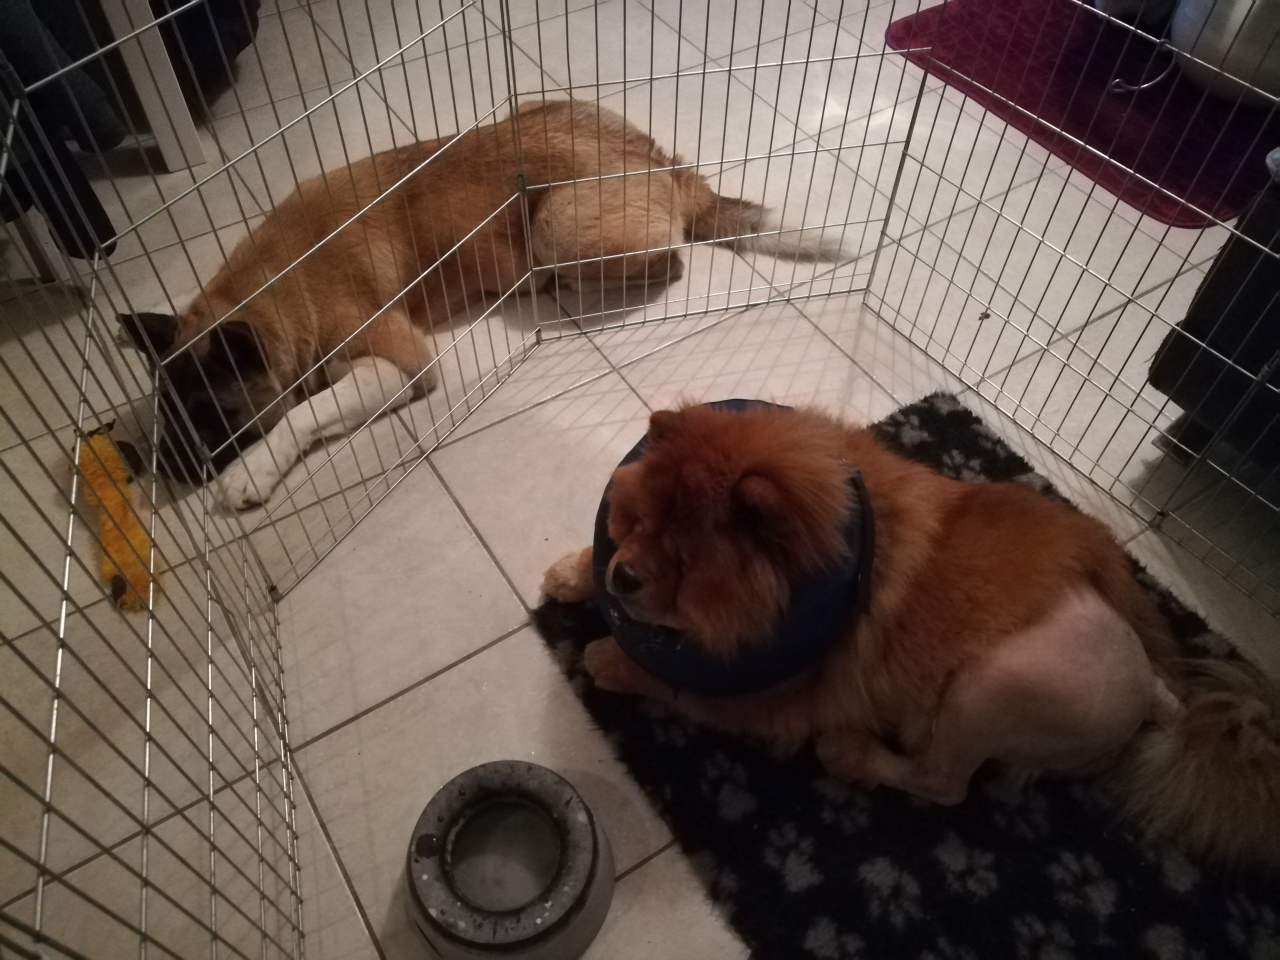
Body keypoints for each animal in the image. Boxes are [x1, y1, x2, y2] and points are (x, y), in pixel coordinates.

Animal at [119, 100, 844, 510]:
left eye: (209, 412)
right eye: (165, 408)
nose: (158, 470)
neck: (271, 284)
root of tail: (670, 167)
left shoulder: (400, 362)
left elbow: (305, 414)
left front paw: (252, 473)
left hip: (557, 222)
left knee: (669, 257)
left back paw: (566, 283)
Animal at [542, 402, 1280, 866]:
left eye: (687, 562)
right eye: (635, 522)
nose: (624, 572)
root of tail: (1155, 690)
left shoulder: (767, 698)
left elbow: (667, 676)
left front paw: (606, 655)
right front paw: (574, 572)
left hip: (990, 687)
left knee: (942, 781)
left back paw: (851, 755)